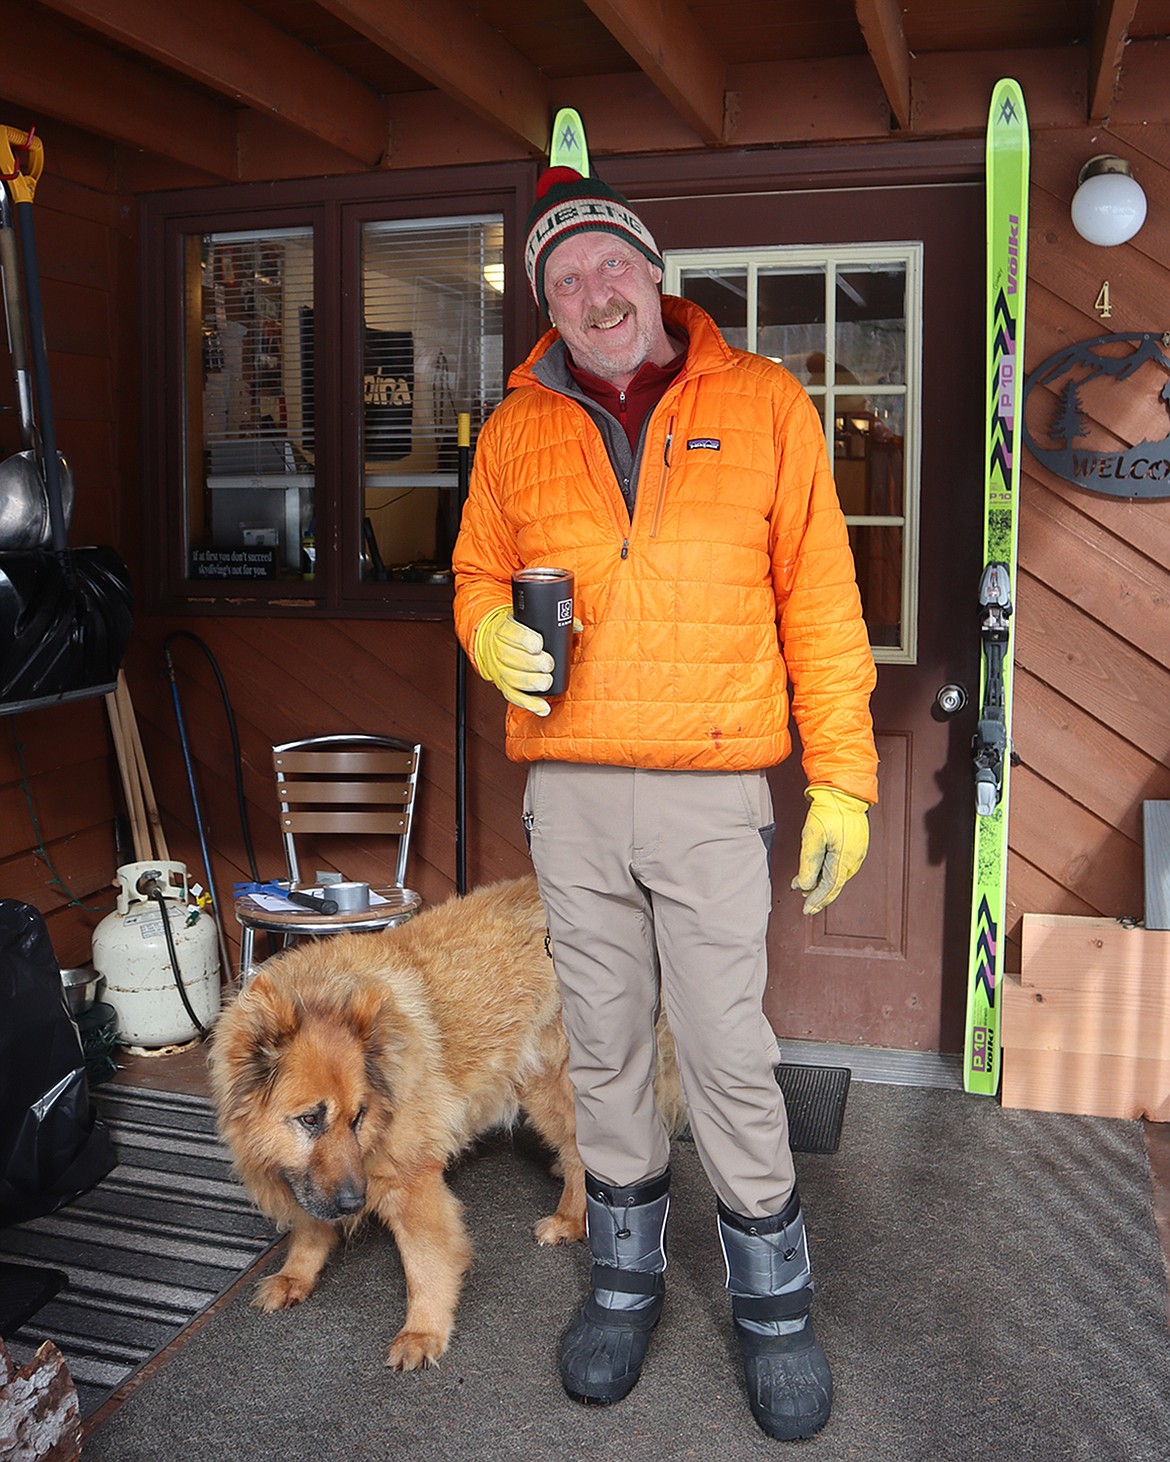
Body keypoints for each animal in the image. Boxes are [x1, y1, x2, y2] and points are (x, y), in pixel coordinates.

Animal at [210, 877, 684, 1368]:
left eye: (358, 1116)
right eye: (310, 1119)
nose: (354, 1203)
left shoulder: (412, 1183)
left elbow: (426, 1263)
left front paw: (423, 1331)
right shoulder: (310, 1178)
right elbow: (309, 1225)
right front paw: (296, 1274)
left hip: (551, 1088)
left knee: (579, 1152)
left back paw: (570, 1219)